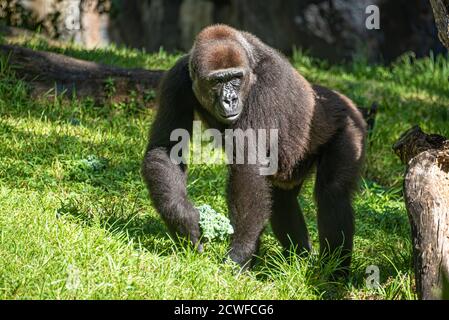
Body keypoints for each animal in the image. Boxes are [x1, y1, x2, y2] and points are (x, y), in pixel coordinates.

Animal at [142, 23, 366, 272]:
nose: (230, 99)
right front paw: (183, 221)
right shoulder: (176, 79)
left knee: (333, 193)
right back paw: (297, 258)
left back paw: (333, 271)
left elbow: (247, 166)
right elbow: (165, 149)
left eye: (235, 78)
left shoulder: (269, 81)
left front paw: (241, 252)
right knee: (282, 201)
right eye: (217, 81)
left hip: (350, 126)